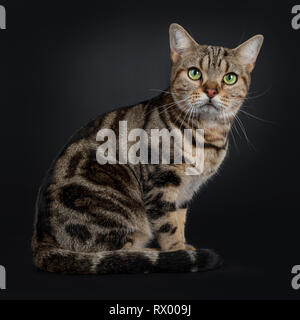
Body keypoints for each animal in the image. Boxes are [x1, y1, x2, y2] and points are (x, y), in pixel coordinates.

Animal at [31, 23, 264, 274]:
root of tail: (40, 242)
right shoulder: (160, 184)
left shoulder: (185, 192)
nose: (211, 91)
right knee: (113, 254)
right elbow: (168, 228)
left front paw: (184, 247)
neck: (206, 136)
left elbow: (179, 221)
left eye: (229, 78)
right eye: (194, 73)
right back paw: (148, 253)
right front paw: (177, 253)